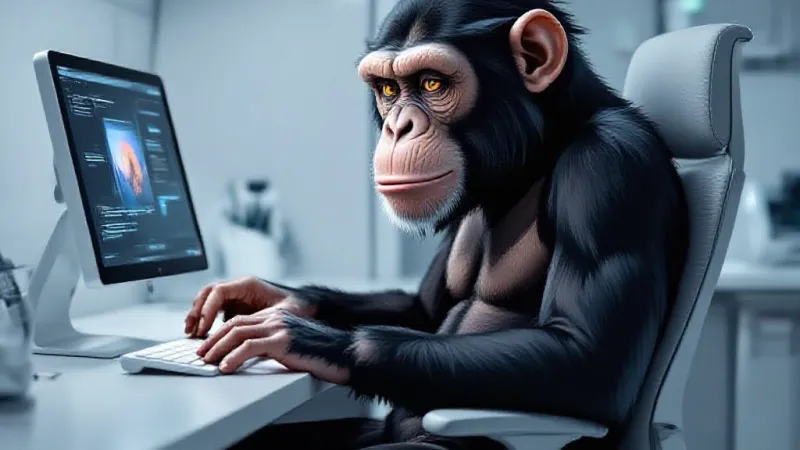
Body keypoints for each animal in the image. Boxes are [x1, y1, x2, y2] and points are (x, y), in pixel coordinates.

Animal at [185, 1, 690, 449]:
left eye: (432, 83)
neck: (538, 153)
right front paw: (272, 297)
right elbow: (423, 312)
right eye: (389, 91)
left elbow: (588, 361)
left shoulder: (607, 168)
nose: (398, 128)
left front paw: (307, 339)